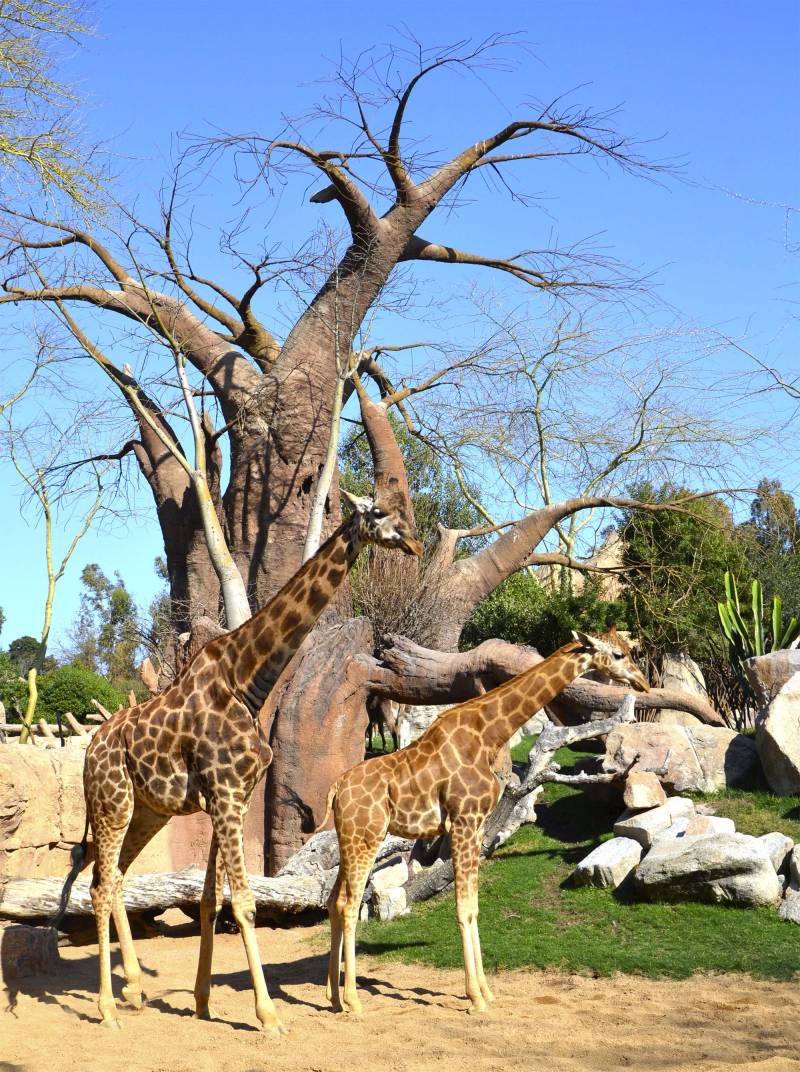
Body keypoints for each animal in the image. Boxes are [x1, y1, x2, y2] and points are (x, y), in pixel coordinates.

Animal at [77, 490, 420, 1033]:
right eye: (378, 514)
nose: (414, 541)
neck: (246, 681)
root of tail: (89, 752)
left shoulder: (228, 798)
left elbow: (209, 899)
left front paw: (202, 1001)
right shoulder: (226, 794)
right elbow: (243, 902)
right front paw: (268, 1014)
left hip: (148, 810)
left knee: (115, 880)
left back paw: (132, 988)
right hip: (112, 803)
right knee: (100, 884)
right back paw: (108, 1008)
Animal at [317, 630, 647, 1016]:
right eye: (618, 655)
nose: (642, 682)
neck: (489, 734)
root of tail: (336, 789)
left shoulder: (475, 828)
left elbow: (474, 907)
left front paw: (486, 992)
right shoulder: (464, 821)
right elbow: (462, 908)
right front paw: (474, 997)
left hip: (350, 838)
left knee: (332, 901)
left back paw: (332, 996)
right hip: (367, 836)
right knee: (348, 905)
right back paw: (353, 1000)